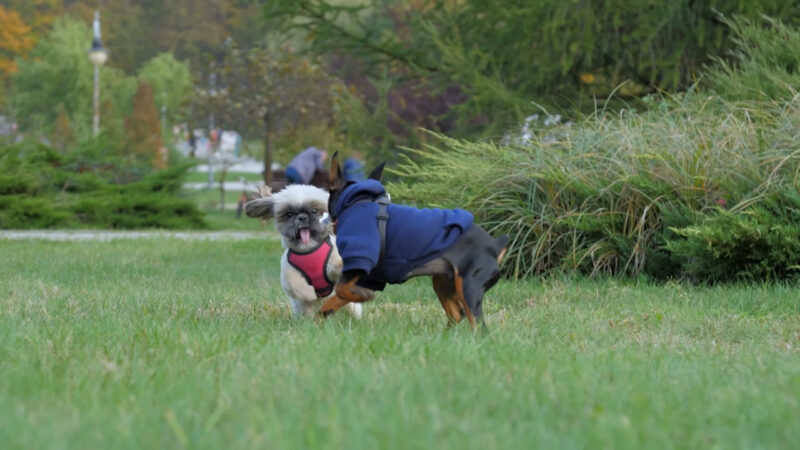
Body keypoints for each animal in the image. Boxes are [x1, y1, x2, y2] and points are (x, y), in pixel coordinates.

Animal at [241, 185, 360, 318]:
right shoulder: (289, 272)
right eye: (289, 214)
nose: (302, 217)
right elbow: (294, 284)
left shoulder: (333, 264)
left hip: (350, 305)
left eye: (314, 211)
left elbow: (339, 266)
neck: (308, 250)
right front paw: (309, 293)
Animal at [318, 153, 506, 328]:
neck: (355, 202)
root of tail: (495, 245)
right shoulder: (367, 278)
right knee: (456, 315)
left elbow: (341, 289)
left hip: (469, 288)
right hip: (443, 282)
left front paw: (364, 297)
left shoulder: (360, 262)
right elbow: (335, 300)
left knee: (479, 327)